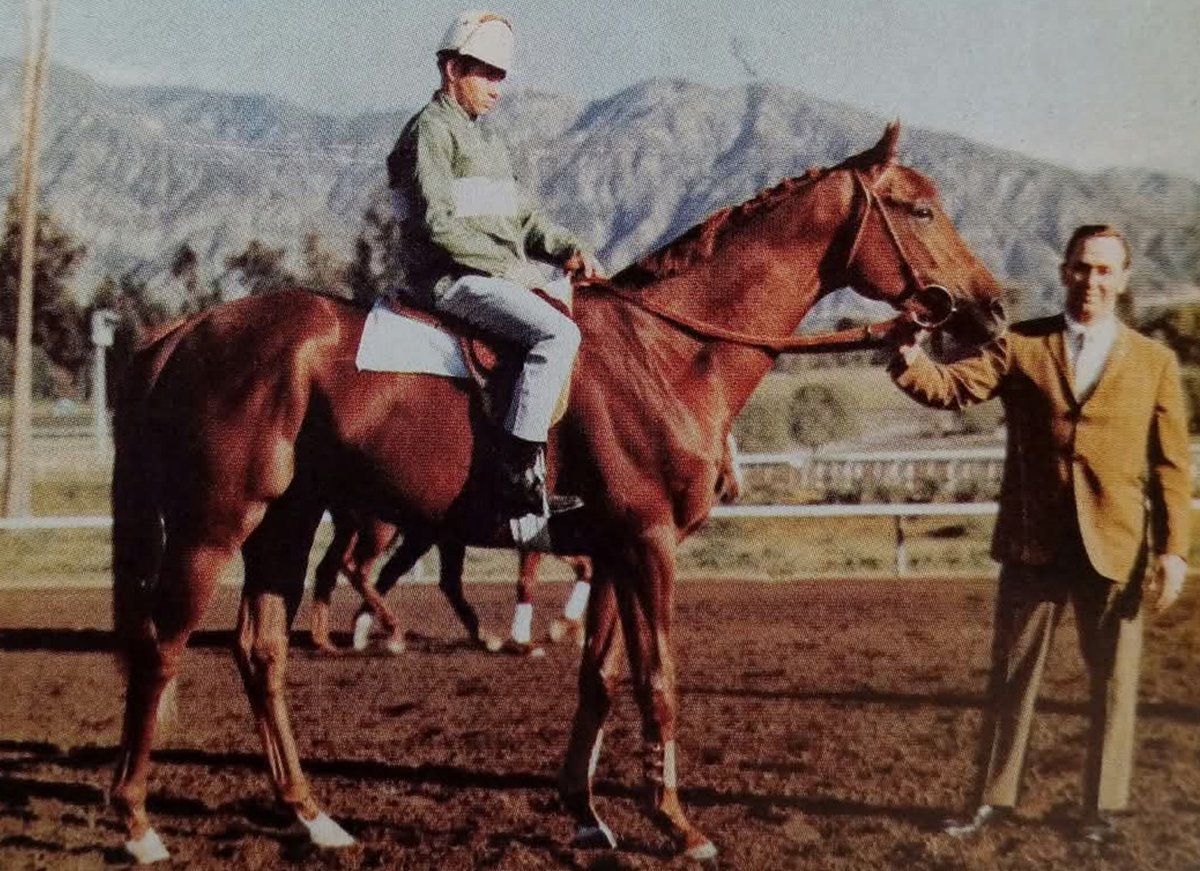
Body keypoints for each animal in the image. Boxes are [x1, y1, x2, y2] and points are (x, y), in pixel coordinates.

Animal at [309, 434, 743, 654]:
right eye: (730, 447)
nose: (732, 488)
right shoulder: (535, 542)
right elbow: (528, 581)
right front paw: (532, 632)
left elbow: (584, 569)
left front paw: (565, 627)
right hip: (385, 530)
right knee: (360, 569)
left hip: (424, 535)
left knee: (391, 575)